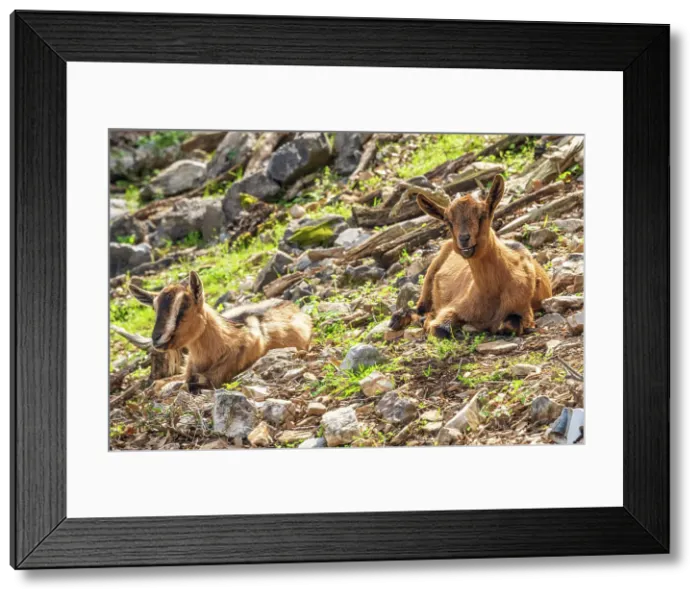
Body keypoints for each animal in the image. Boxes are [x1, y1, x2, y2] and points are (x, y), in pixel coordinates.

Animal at [392, 174, 552, 338]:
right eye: (448, 221)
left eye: (482, 215)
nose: (464, 239)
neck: (492, 292)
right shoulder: (454, 306)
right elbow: (439, 328)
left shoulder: (524, 310)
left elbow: (511, 325)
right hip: (430, 275)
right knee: (420, 307)